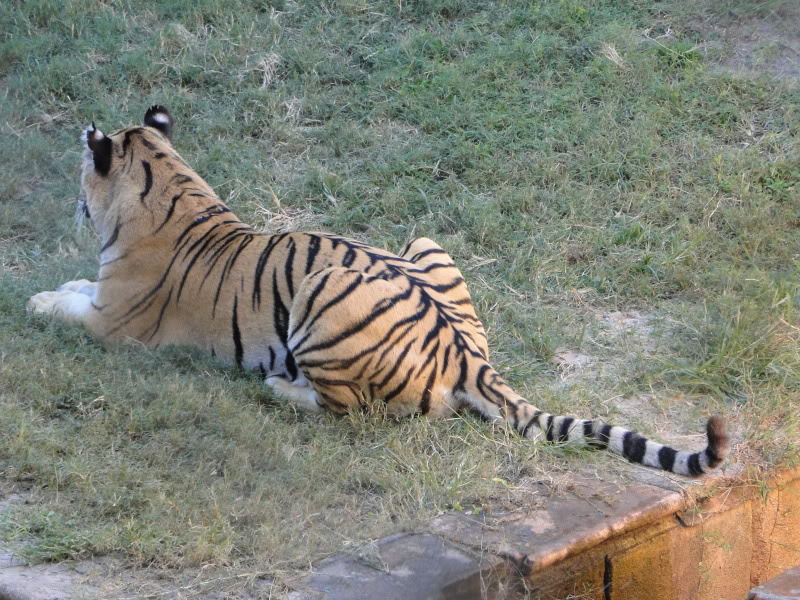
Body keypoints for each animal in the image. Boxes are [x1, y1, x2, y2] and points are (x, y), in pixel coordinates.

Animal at [28, 105, 732, 476]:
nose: (72, 204)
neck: (165, 182)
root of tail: (468, 358)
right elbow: (76, 284)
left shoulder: (112, 323)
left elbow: (64, 306)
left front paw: (37, 300)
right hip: (423, 240)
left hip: (322, 296)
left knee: (352, 411)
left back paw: (280, 389)